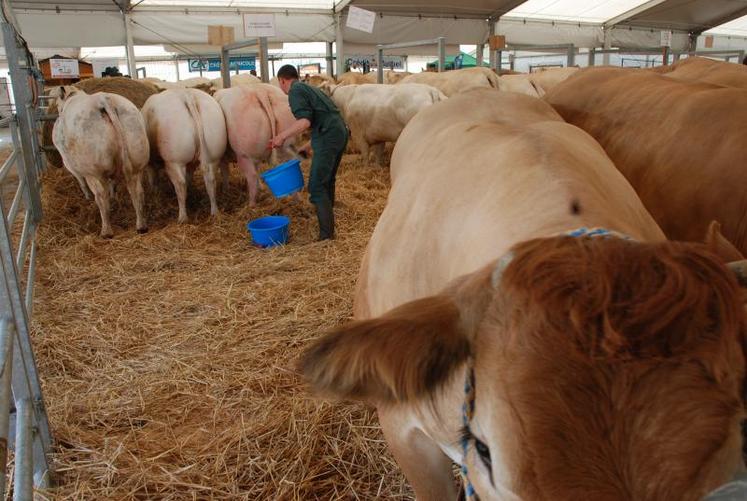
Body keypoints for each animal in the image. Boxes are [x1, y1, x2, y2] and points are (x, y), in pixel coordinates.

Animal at [51, 87, 149, 237]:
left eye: (56, 104)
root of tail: (102, 99)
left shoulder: (70, 165)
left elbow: (81, 182)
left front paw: (87, 197)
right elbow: (113, 184)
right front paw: (114, 194)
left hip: (94, 172)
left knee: (101, 198)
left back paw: (106, 231)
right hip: (137, 164)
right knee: (137, 192)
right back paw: (141, 226)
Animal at [141, 88, 228, 223]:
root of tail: (187, 96)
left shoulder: (150, 163)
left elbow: (153, 180)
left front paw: (155, 194)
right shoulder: (191, 163)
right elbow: (189, 177)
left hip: (175, 160)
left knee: (180, 184)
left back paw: (182, 218)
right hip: (213, 155)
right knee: (211, 181)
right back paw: (214, 212)